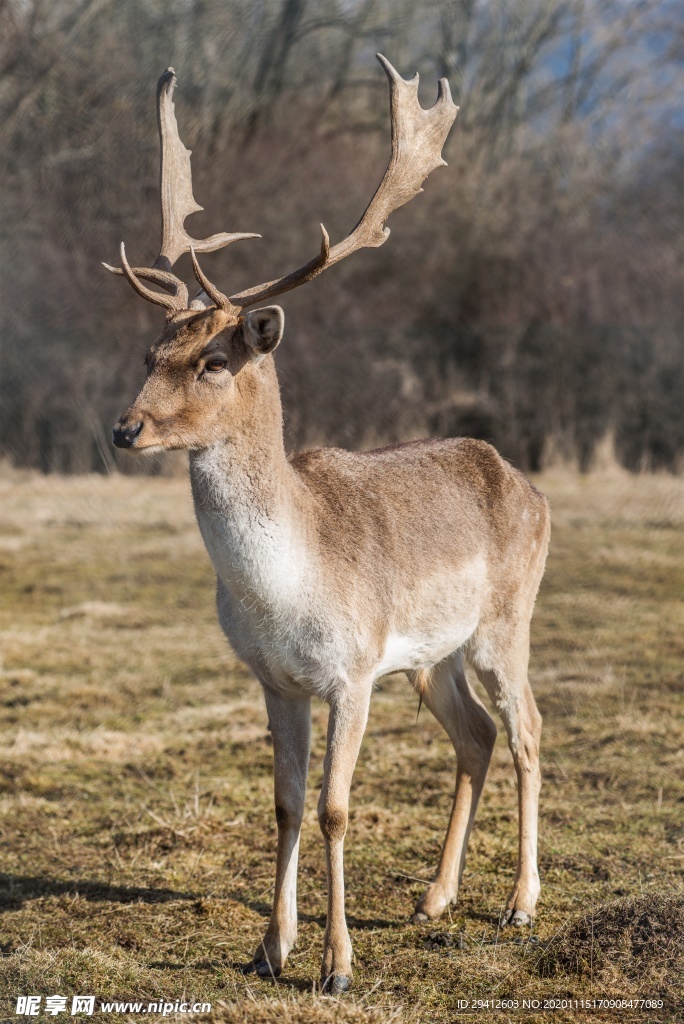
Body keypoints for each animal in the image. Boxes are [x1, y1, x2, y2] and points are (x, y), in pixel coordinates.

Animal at [105, 56, 548, 991]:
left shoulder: (350, 672)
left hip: (504, 620)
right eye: (151, 352)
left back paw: (520, 904)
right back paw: (433, 899)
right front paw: (270, 949)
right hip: (430, 655)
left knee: (527, 728)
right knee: (477, 735)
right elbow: (282, 804)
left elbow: (337, 809)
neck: (287, 587)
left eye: (214, 359)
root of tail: (526, 484)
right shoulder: (275, 679)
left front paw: (338, 963)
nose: (125, 429)